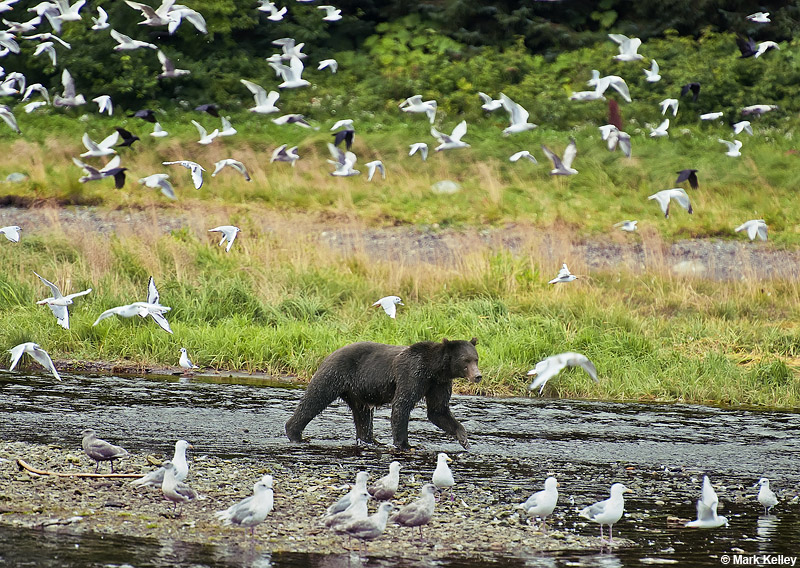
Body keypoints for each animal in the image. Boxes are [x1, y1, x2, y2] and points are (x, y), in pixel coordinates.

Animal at [285, 338, 481, 450]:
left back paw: (370, 441)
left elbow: (438, 411)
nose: (478, 375)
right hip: (336, 374)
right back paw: (294, 433)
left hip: (357, 393)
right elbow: (402, 406)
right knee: (315, 398)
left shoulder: (438, 384)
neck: (435, 370)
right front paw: (404, 444)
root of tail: (330, 353)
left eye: (476, 359)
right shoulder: (412, 375)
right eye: (466, 360)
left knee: (362, 416)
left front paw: (464, 438)